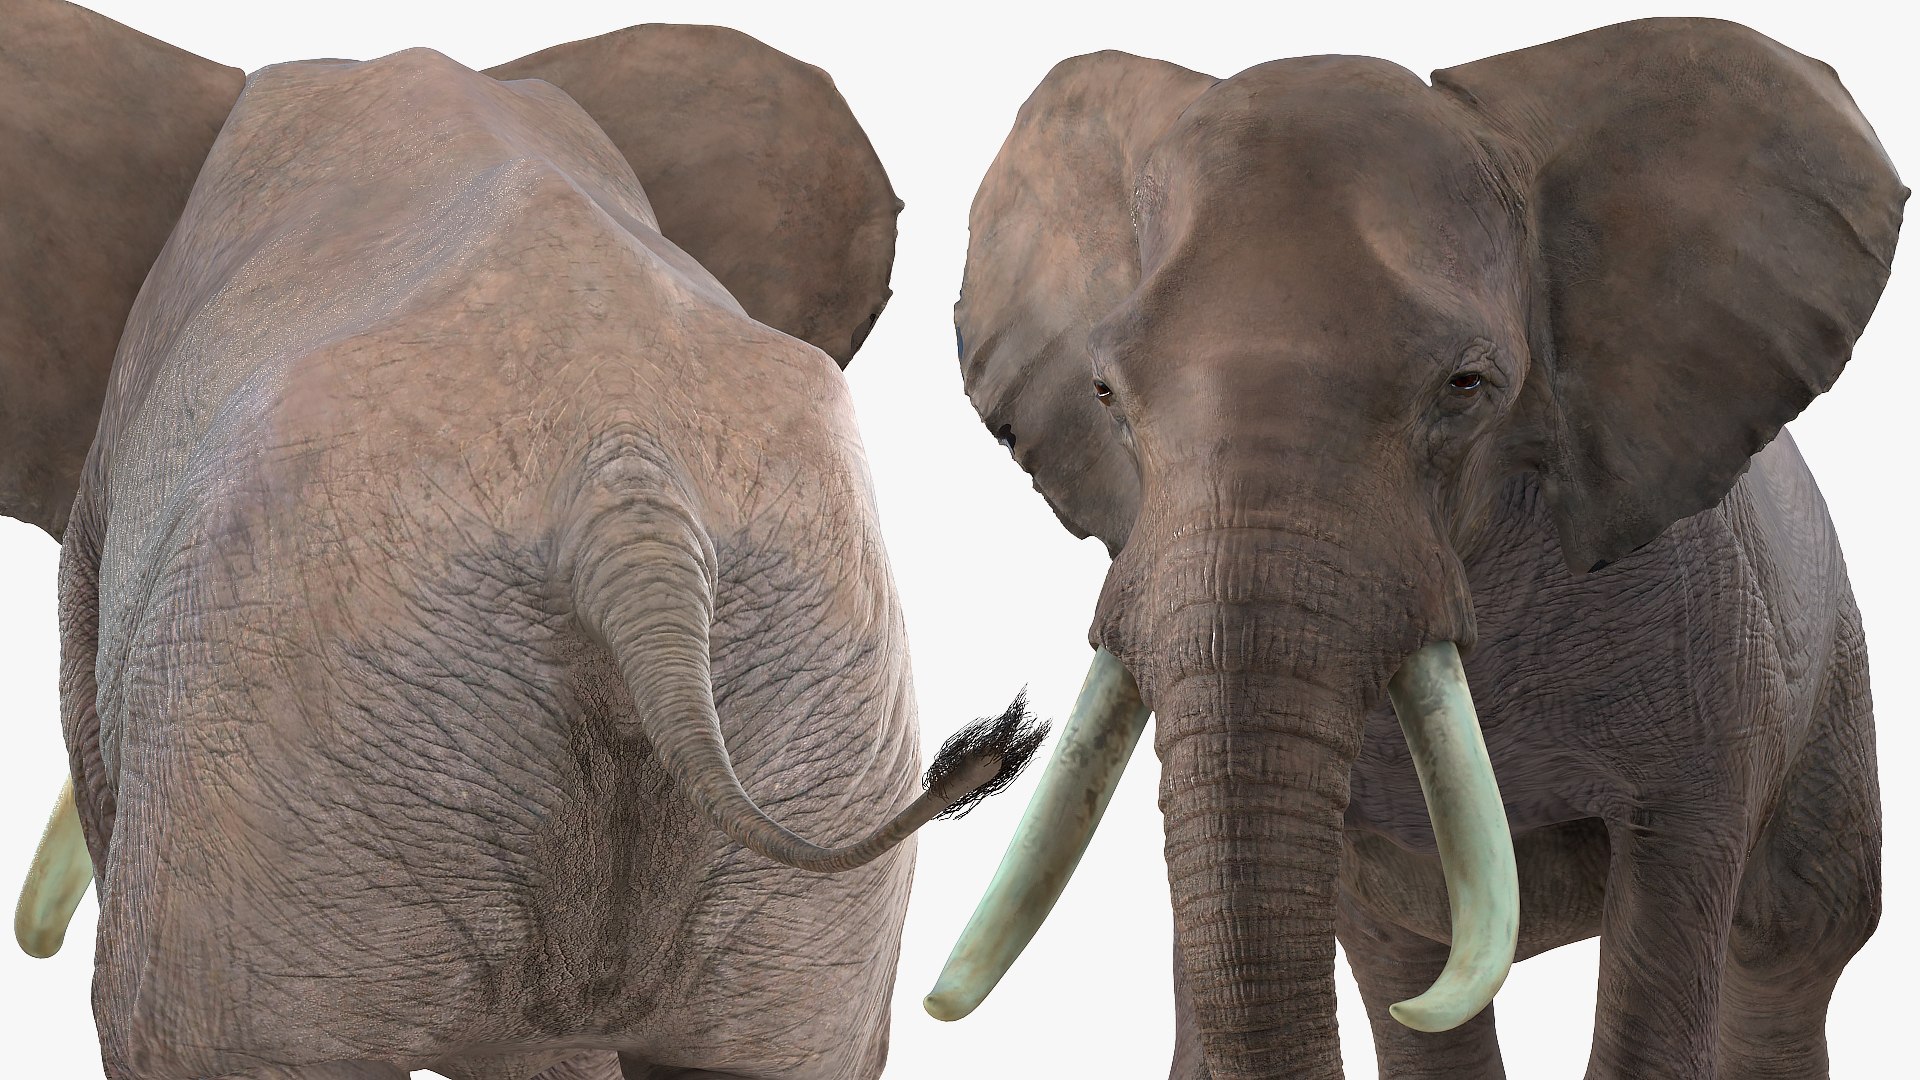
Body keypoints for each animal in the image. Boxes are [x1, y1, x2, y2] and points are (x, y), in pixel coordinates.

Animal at [923, 16, 1904, 1080]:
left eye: (1466, 386)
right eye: (1105, 394)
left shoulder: (1707, 655)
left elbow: (1669, 924)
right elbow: (1384, 941)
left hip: (1830, 681)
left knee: (1794, 952)